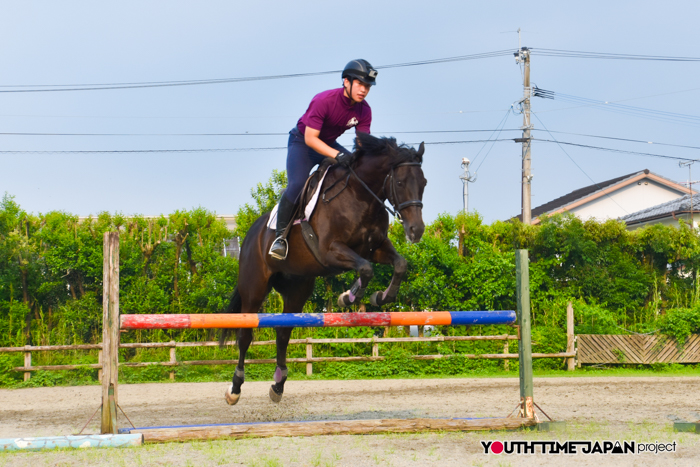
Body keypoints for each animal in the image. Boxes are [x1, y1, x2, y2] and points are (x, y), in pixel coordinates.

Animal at [222, 132, 427, 405]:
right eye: (401, 182)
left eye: (424, 183)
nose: (416, 231)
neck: (360, 196)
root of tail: (250, 234)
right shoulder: (331, 251)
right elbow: (366, 269)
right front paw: (348, 297)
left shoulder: (375, 248)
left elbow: (398, 264)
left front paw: (380, 296)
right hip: (254, 288)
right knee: (245, 335)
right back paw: (235, 387)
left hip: (297, 290)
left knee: (283, 332)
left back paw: (278, 384)